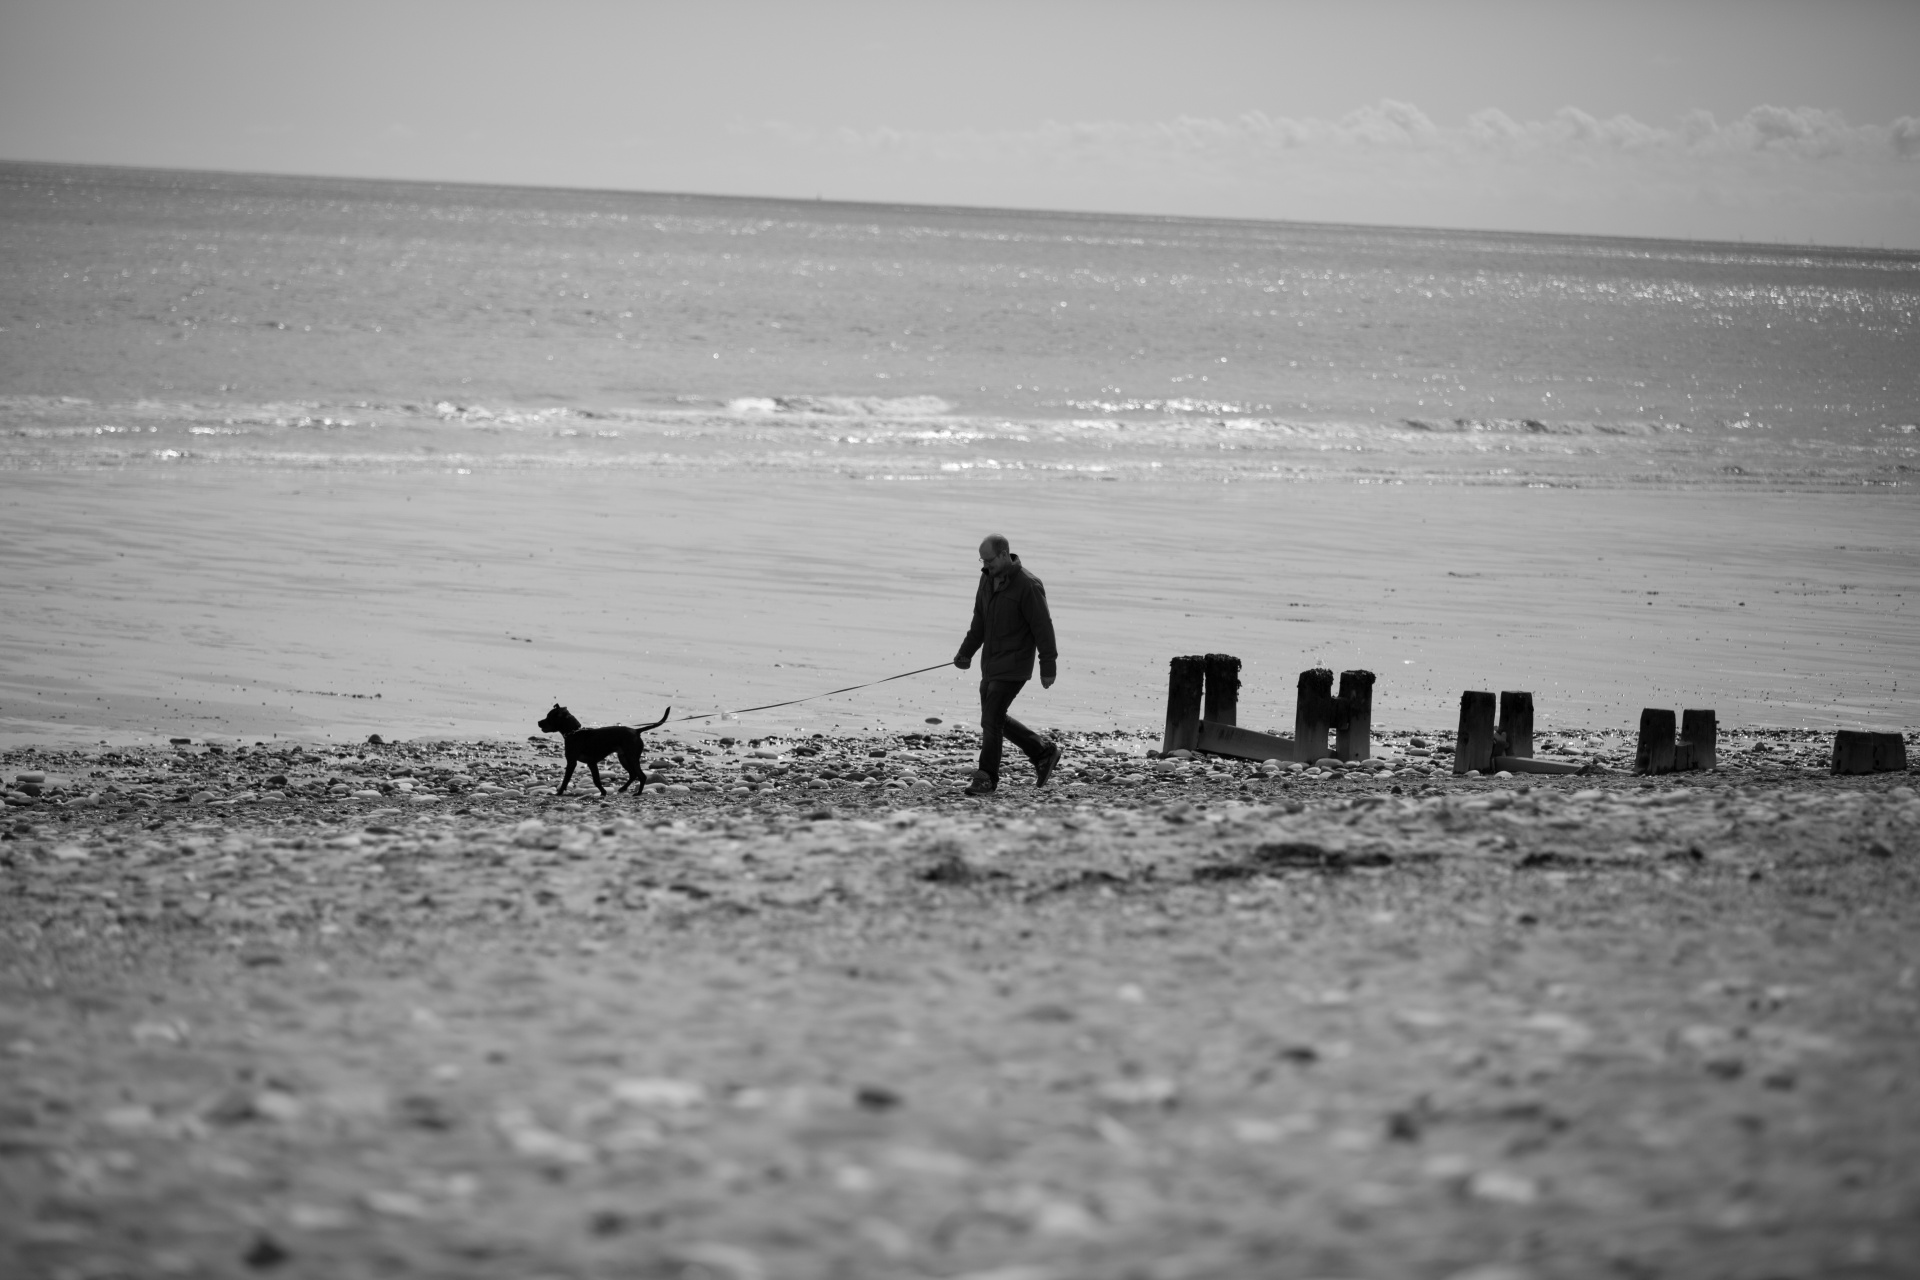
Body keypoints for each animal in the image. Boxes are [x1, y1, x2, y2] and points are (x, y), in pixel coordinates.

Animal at [537, 706, 672, 794]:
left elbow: (566, 780)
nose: (538, 722)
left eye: (549, 717)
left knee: (641, 776)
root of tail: (636, 731)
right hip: (623, 757)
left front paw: (559, 793)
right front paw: (603, 792)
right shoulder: (591, 763)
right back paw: (623, 789)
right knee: (633, 774)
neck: (574, 733)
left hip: (631, 757)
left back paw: (638, 793)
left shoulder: (572, 762)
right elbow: (596, 780)